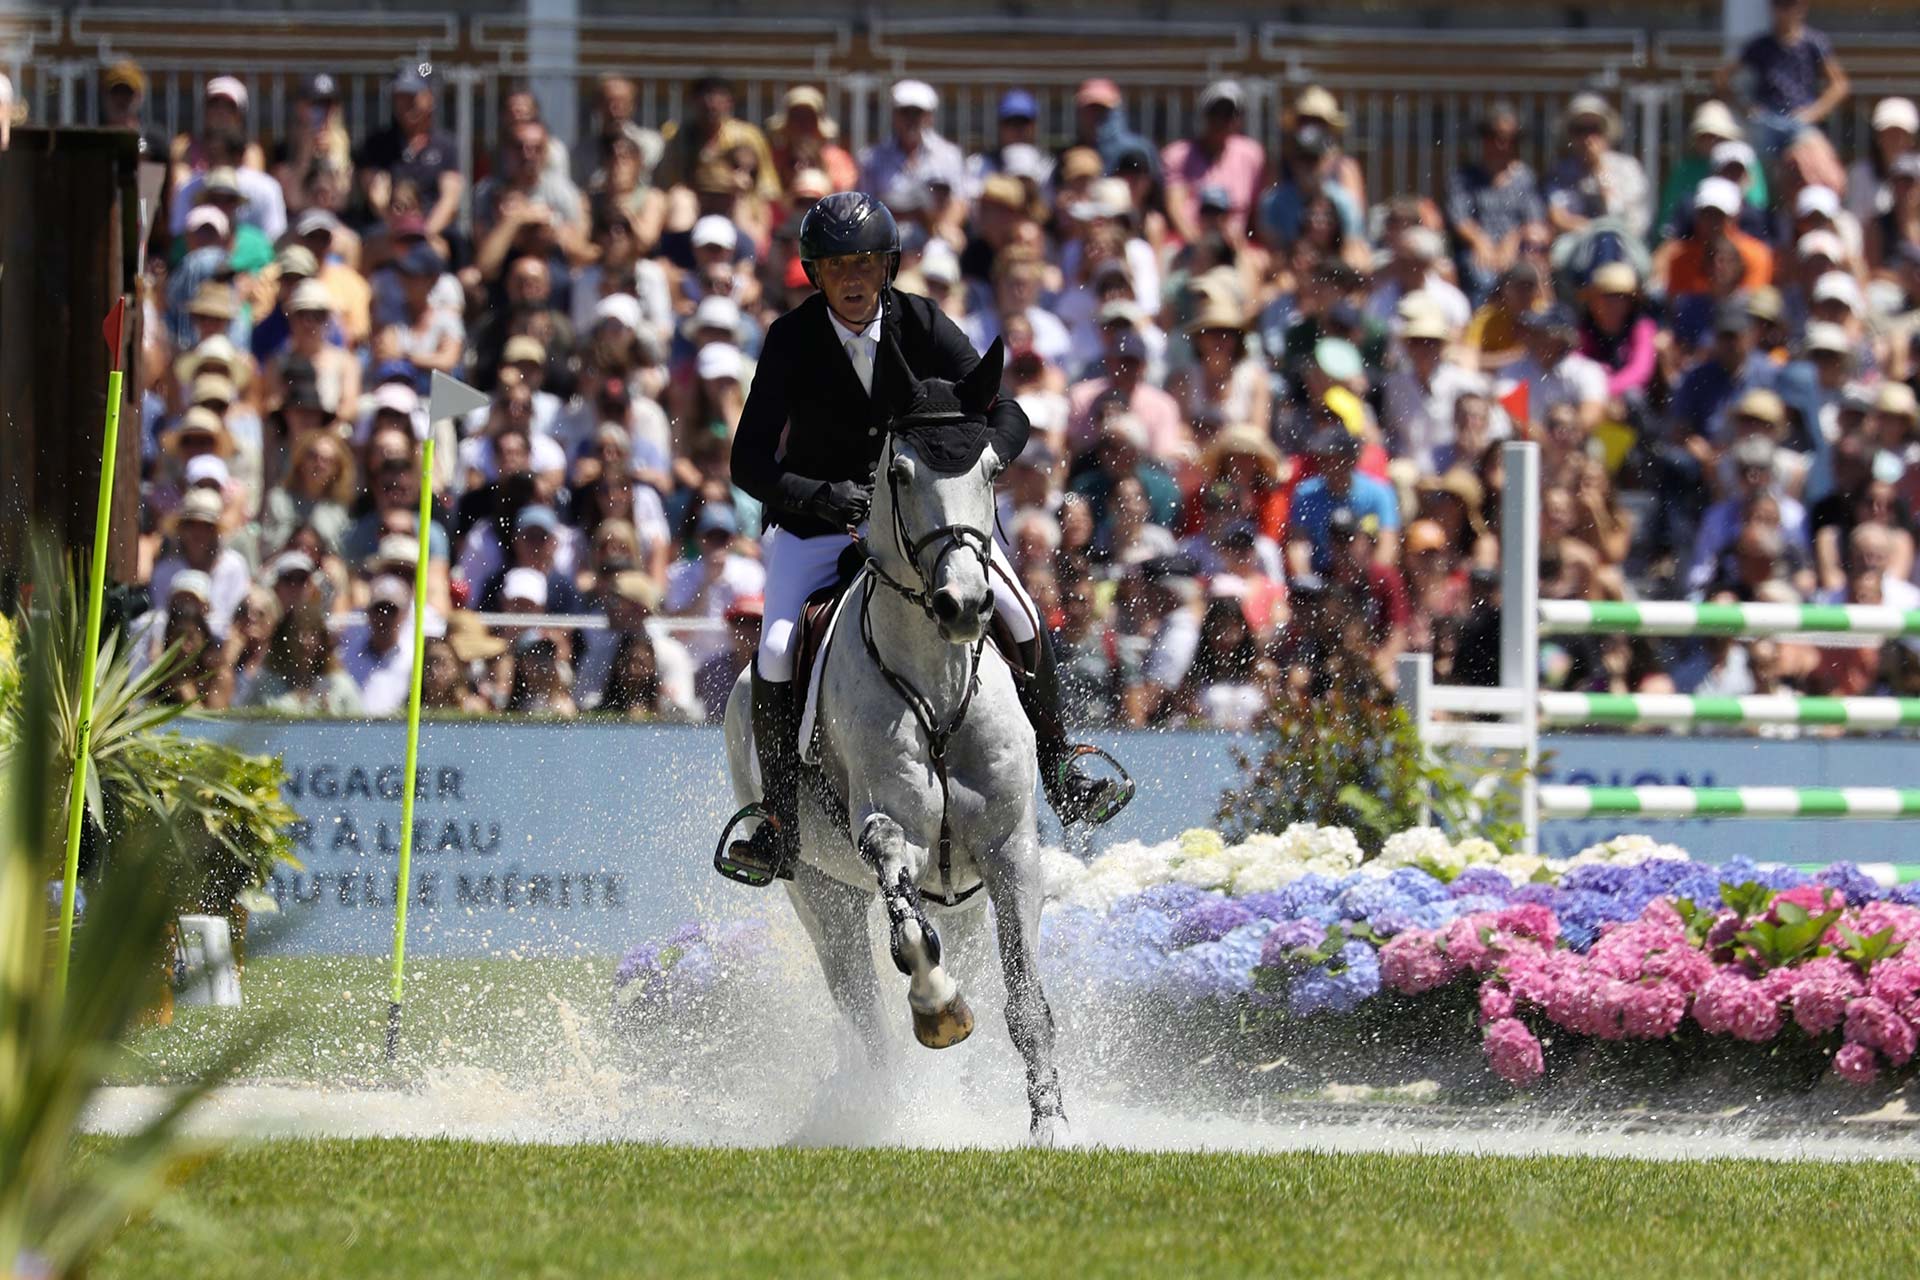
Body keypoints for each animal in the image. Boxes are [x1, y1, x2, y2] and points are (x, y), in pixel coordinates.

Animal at [725, 364, 1075, 1143]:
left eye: (992, 468)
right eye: (900, 472)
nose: (964, 605)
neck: (938, 680)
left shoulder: (1009, 851)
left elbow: (1026, 1001)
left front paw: (1051, 1126)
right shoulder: (890, 834)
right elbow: (909, 927)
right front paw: (940, 1008)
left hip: (965, 898)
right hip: (820, 895)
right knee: (864, 1015)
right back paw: (886, 1115)